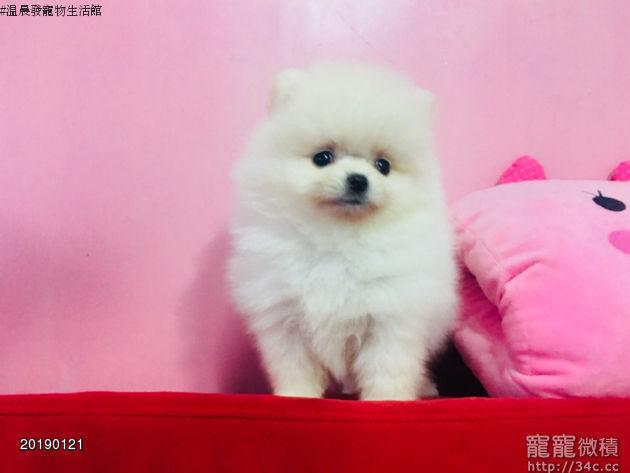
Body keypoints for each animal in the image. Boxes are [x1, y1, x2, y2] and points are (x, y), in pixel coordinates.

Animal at [227, 62, 458, 400]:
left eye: (383, 165)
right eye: (322, 158)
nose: (358, 180)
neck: (338, 238)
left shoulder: (390, 319)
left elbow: (387, 368)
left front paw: (387, 400)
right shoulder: (285, 319)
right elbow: (295, 366)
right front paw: (296, 396)